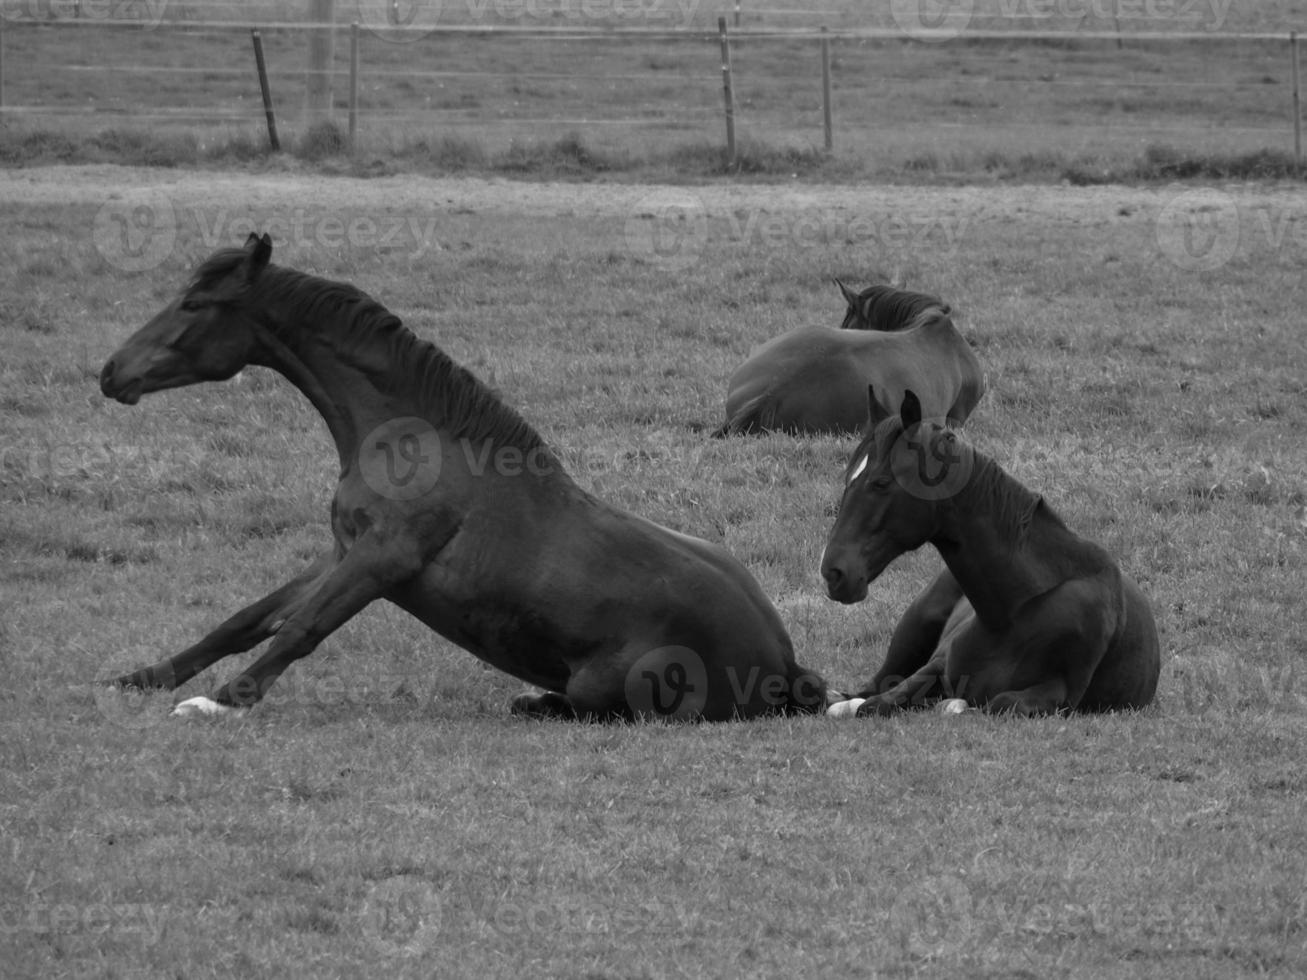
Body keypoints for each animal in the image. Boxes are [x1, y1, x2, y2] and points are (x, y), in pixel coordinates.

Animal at [99, 237, 826, 726]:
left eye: (194, 303)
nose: (110, 373)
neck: (411, 439)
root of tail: (785, 667)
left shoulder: (380, 561)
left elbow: (300, 629)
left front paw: (217, 703)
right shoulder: (342, 552)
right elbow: (244, 620)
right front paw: (139, 678)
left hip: (608, 688)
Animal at [820, 386, 1160, 716]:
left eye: (880, 483)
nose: (833, 572)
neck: (1015, 609)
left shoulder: (1059, 693)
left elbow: (999, 702)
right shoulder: (936, 665)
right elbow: (877, 703)